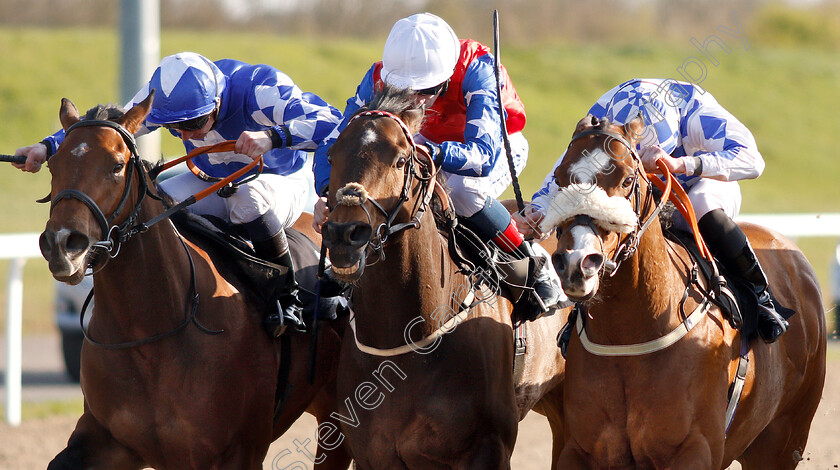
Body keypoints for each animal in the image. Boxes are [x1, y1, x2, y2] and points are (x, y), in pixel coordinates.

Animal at [35, 93, 352, 468]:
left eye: (116, 165)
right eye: (54, 166)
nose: (62, 244)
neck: (149, 337)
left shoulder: (238, 451)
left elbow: (320, 114)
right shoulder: (106, 439)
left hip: (338, 414)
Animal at [540, 114, 824, 470]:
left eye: (627, 179)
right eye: (560, 178)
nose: (577, 261)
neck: (631, 335)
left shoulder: (694, 448)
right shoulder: (578, 449)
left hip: (783, 441)